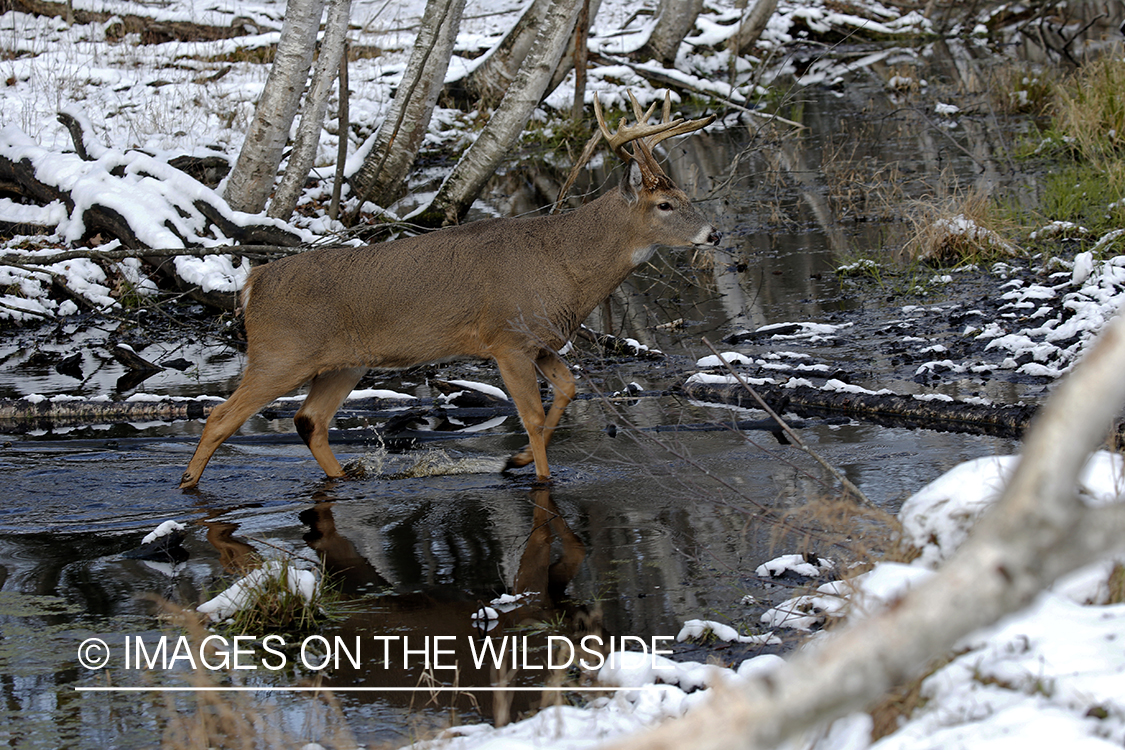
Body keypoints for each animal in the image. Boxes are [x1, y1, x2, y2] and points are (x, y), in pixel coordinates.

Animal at [175, 91, 720, 490]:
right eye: (666, 204)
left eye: (686, 195)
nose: (713, 234)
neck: (565, 267)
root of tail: (252, 284)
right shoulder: (506, 339)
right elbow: (530, 413)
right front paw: (539, 478)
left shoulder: (542, 342)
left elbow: (566, 391)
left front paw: (516, 462)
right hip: (281, 351)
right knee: (220, 415)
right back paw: (187, 486)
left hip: (344, 362)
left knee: (309, 420)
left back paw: (344, 478)